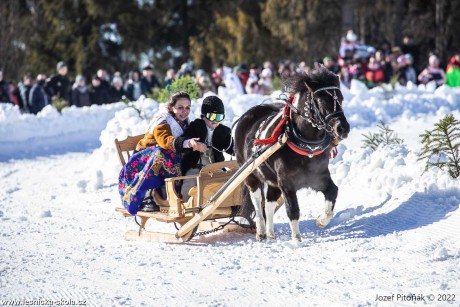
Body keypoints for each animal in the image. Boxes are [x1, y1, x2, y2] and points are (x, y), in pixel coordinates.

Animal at [235, 66, 350, 242]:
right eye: (322, 100)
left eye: (341, 98)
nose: (343, 128)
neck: (305, 145)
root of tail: (247, 115)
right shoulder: (286, 182)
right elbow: (293, 210)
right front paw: (297, 239)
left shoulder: (318, 176)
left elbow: (333, 192)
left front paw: (321, 221)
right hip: (250, 175)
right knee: (257, 201)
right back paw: (260, 231)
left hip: (272, 180)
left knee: (269, 204)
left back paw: (270, 234)